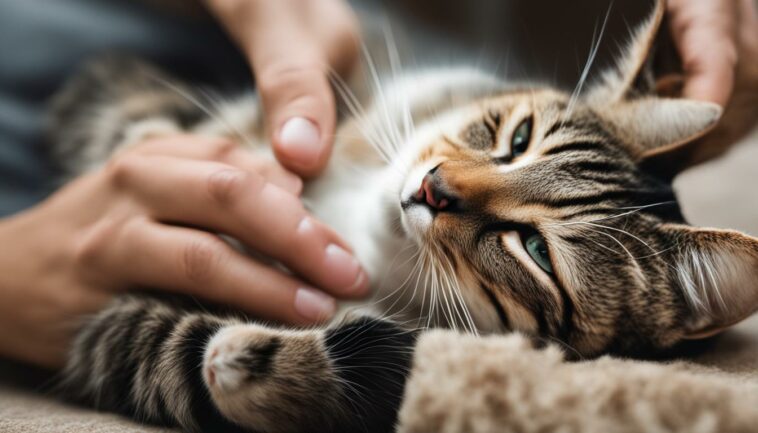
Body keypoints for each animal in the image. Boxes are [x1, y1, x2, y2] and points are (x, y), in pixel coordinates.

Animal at [50, 0, 758, 432]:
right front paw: (146, 140)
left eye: (534, 250)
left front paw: (252, 361)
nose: (435, 188)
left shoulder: (111, 334)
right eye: (517, 137)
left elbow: (170, 348)